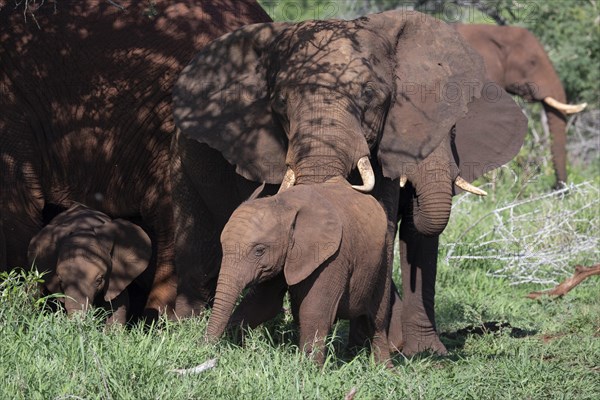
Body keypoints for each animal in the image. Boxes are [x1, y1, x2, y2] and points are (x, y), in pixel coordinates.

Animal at [206, 177, 392, 366]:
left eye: (259, 250)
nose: (206, 348)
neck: (284, 204)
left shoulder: (333, 255)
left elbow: (313, 312)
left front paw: (308, 369)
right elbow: (261, 303)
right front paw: (233, 346)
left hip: (386, 252)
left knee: (377, 320)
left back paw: (383, 369)